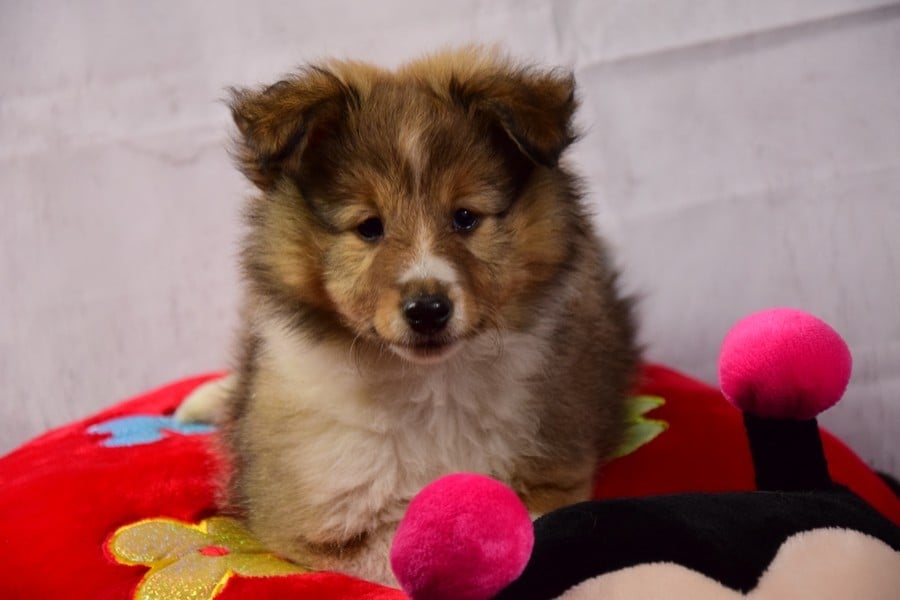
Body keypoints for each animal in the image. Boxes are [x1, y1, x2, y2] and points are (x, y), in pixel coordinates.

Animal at [178, 48, 640, 584]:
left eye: (465, 217)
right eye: (369, 227)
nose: (428, 310)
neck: (428, 387)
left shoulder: (556, 476)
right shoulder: (310, 526)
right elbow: (397, 556)